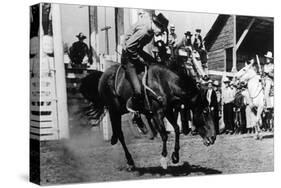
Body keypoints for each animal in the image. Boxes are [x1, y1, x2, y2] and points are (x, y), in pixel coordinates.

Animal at [80, 62, 215, 170]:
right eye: (205, 112)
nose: (213, 138)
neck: (164, 84)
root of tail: (103, 75)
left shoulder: (167, 111)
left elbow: (176, 129)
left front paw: (175, 156)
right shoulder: (157, 114)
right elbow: (164, 135)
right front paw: (164, 160)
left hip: (119, 110)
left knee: (118, 131)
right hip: (114, 110)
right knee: (120, 134)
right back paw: (130, 161)